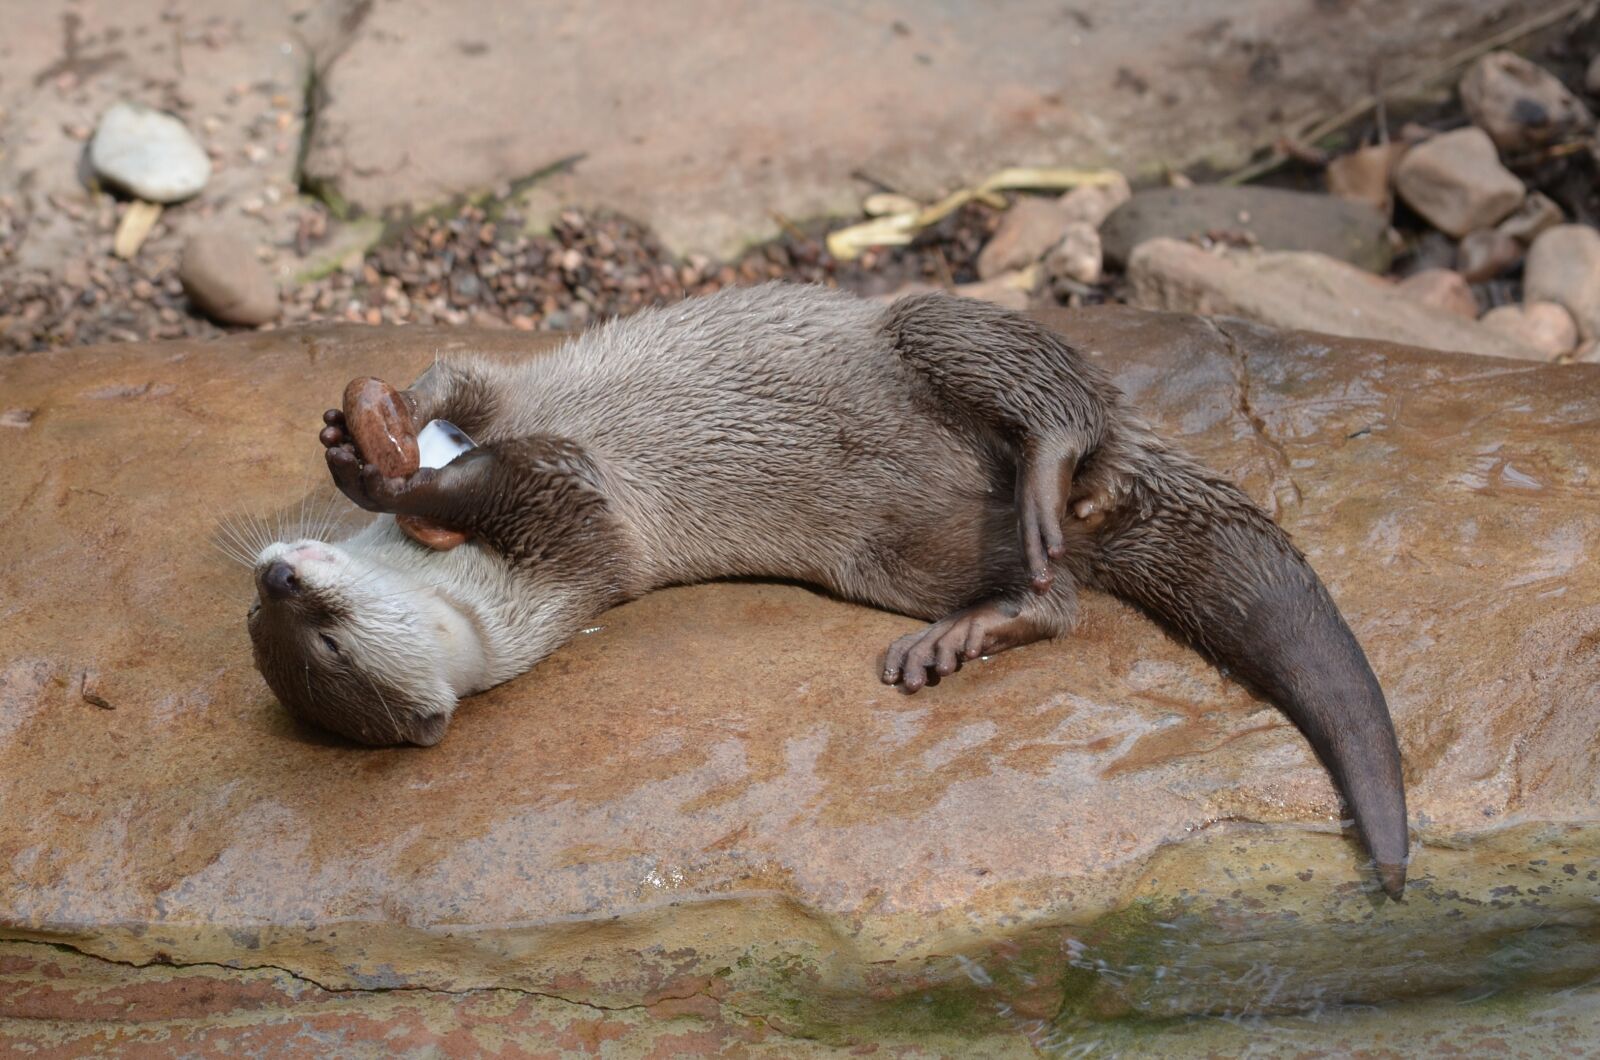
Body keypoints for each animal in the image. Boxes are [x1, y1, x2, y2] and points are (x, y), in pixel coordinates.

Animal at [247, 283, 1409, 897]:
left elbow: (462, 385)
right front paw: (390, 466)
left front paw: (366, 444)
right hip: (904, 551)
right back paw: (974, 628)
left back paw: (1045, 469)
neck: (475, 574)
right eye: (313, 638)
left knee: (1044, 384)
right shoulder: (579, 543)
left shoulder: (536, 451)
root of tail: (1098, 487)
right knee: (1055, 597)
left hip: (929, 329)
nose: (275, 575)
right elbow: (530, 468)